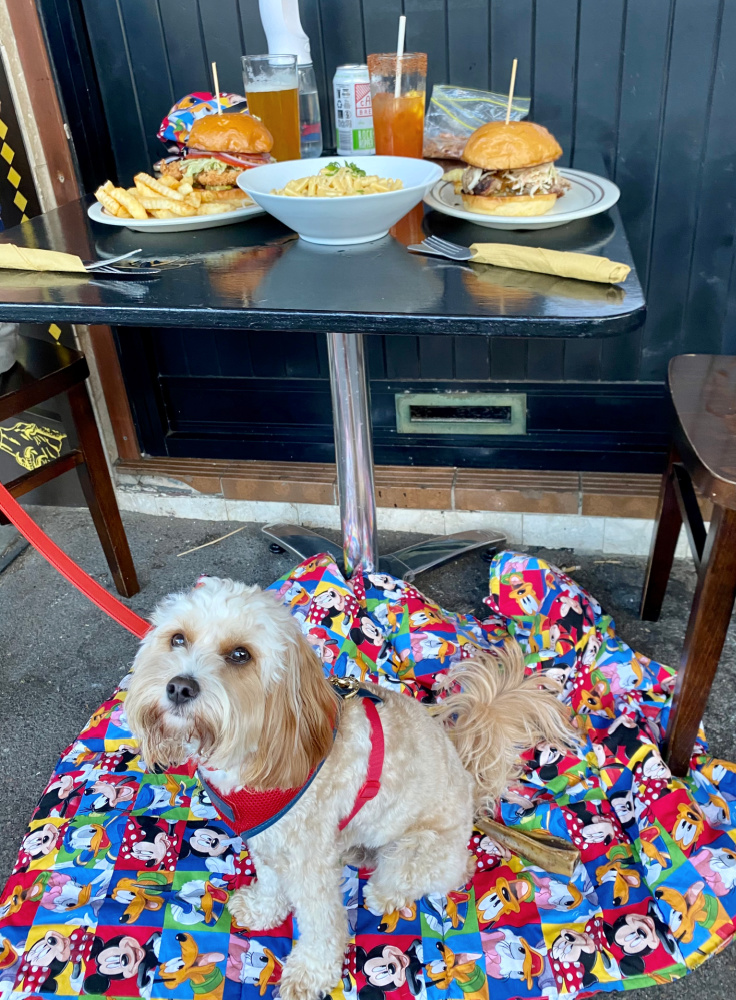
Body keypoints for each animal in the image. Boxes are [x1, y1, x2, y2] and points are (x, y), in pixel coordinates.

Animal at [126, 576, 576, 1000]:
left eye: (240, 655)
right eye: (178, 638)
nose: (179, 687)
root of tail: (468, 780)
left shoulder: (309, 862)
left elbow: (322, 924)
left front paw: (310, 973)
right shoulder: (269, 839)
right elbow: (271, 880)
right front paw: (263, 908)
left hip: (418, 851)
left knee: (436, 875)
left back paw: (388, 894)